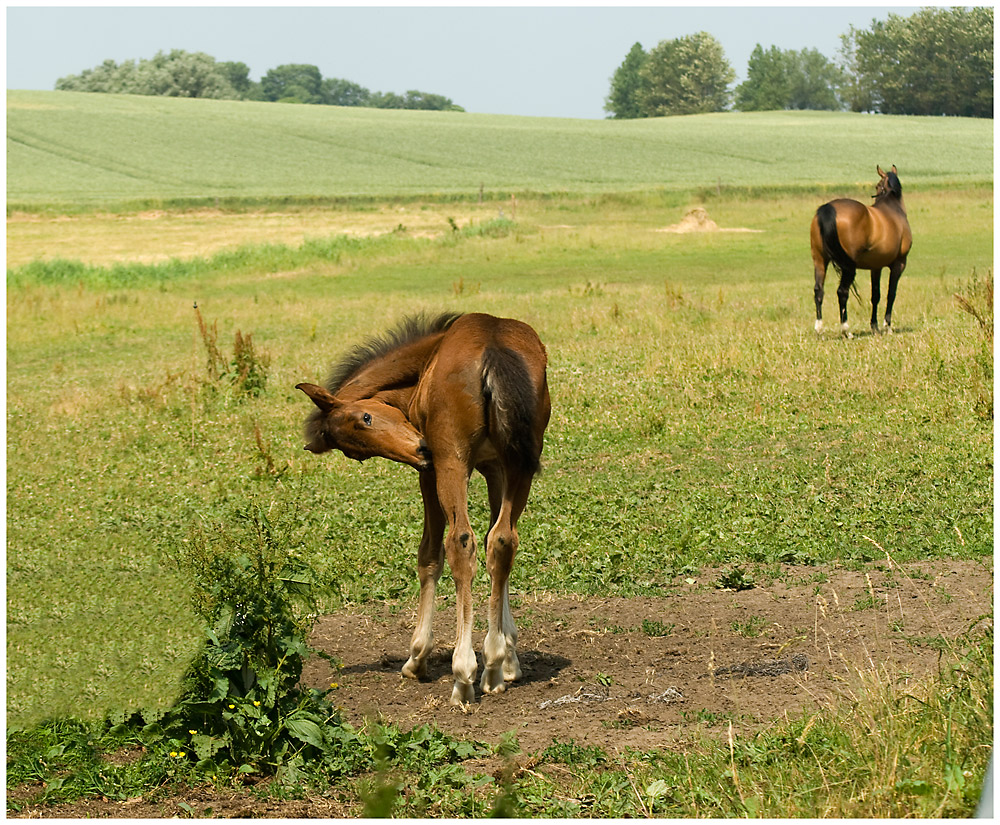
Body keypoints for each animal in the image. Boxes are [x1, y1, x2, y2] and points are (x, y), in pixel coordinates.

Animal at [296, 312, 552, 704]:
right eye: (357, 453)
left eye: (366, 417)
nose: (420, 451)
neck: (425, 360)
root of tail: (492, 345)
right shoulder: (496, 467)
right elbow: (497, 543)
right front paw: (509, 657)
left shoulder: (430, 475)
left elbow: (429, 554)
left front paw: (417, 656)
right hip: (520, 464)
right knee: (503, 540)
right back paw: (493, 668)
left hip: (450, 464)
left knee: (461, 542)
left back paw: (464, 673)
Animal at [812, 164, 916, 334]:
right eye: (877, 185)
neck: (892, 207)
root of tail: (828, 208)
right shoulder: (899, 264)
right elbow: (891, 294)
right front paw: (887, 326)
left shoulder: (876, 267)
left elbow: (876, 295)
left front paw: (874, 326)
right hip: (848, 267)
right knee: (842, 292)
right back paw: (846, 330)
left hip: (820, 261)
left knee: (818, 291)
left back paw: (819, 328)